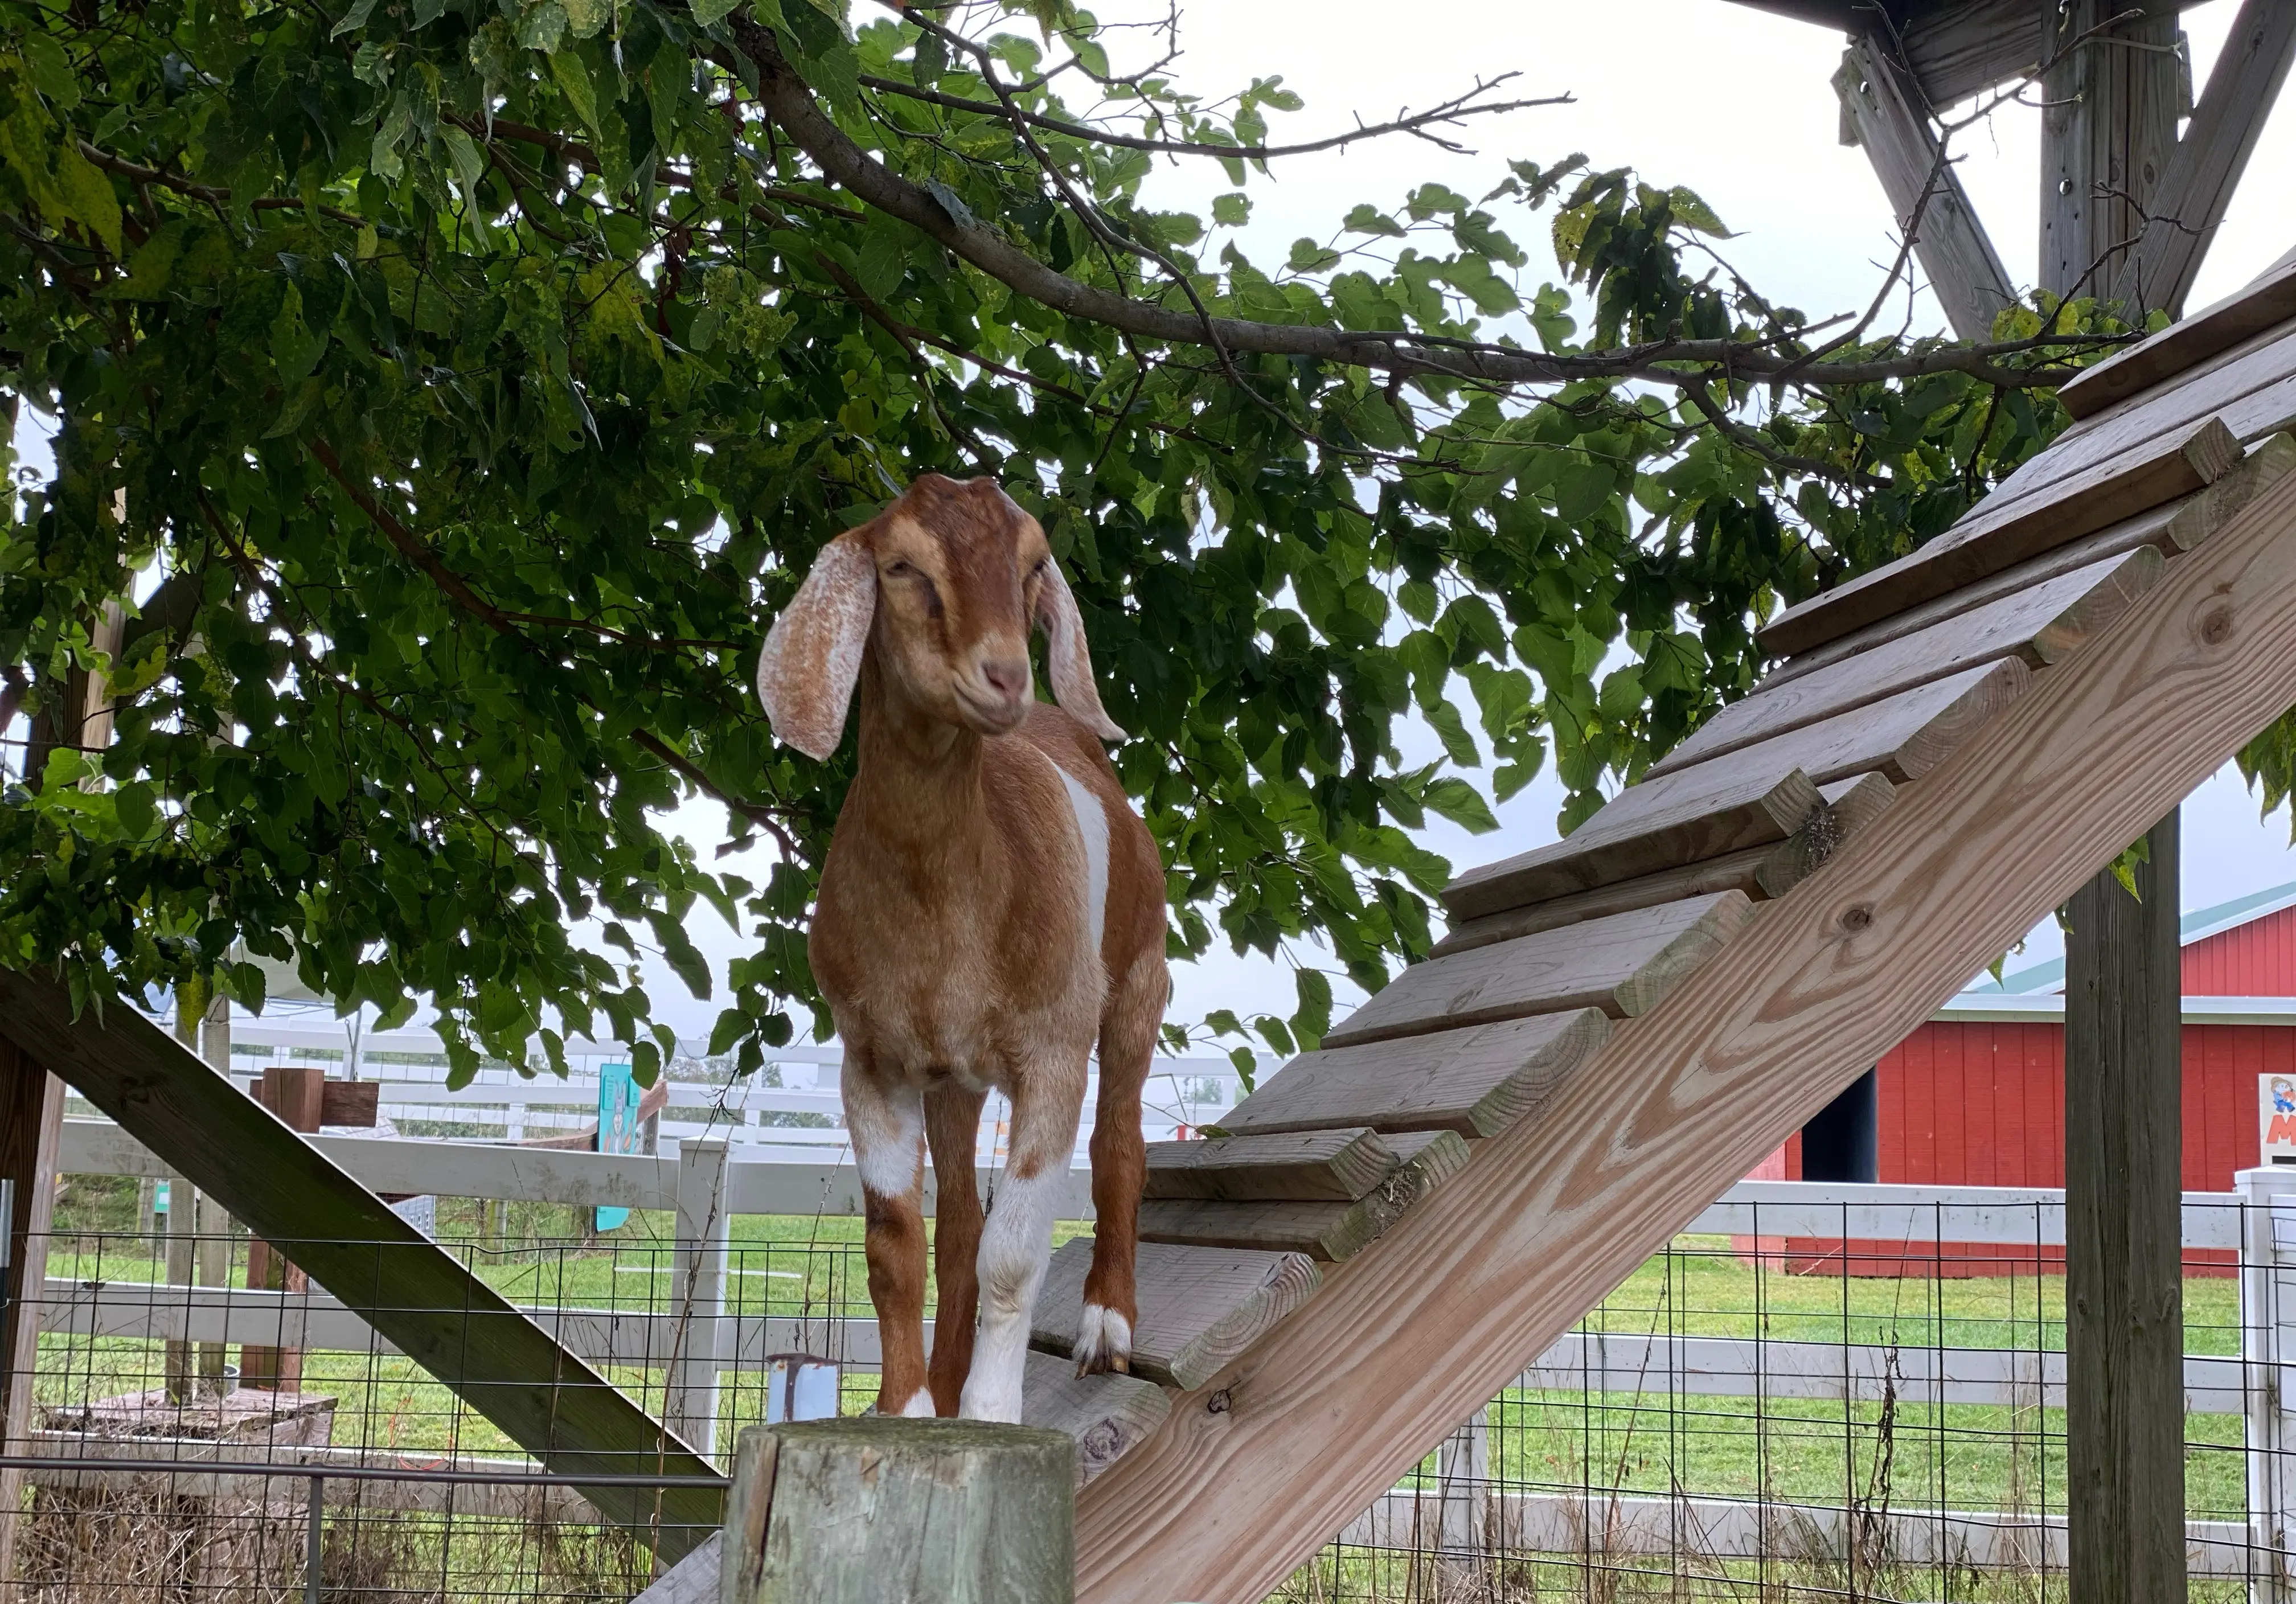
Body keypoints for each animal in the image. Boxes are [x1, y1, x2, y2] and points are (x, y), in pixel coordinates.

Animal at [754, 475, 1168, 1421]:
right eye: (902, 566)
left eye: (1032, 568)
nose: (1006, 675)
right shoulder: (871, 1061)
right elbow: (897, 1248)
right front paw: (908, 1409)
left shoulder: (1052, 1053)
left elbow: (1012, 1251)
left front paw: (988, 1413)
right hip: (956, 1080)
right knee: (958, 1227)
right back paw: (942, 1384)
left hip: (1139, 979)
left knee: (1120, 1144)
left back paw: (1106, 1326)